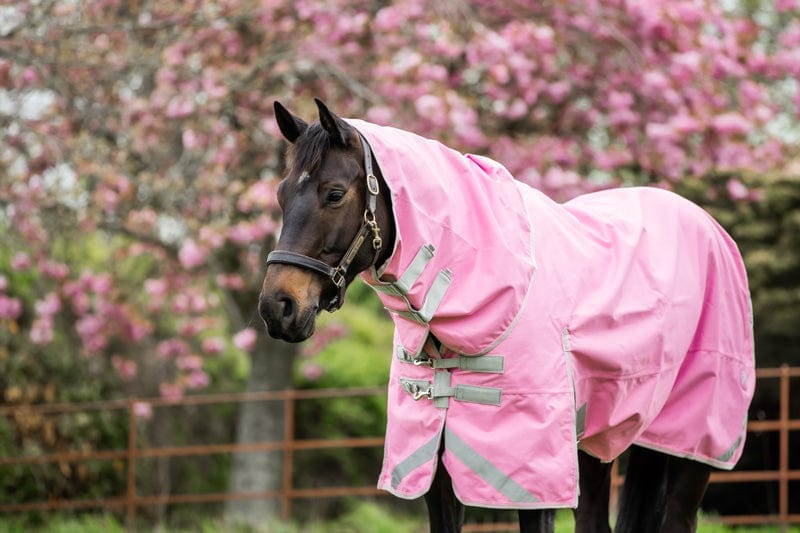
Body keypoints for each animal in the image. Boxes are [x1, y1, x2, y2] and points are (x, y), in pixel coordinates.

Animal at [259, 99, 755, 533]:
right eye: (281, 194)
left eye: (334, 194)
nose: (277, 307)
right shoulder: (434, 466)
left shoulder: (532, 478)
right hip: (597, 445)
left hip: (693, 446)